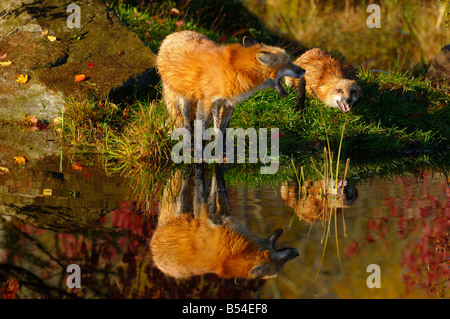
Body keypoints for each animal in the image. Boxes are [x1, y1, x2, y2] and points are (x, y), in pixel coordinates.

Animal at [156, 31, 306, 134]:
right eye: (289, 63)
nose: (303, 70)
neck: (237, 70)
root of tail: (170, 36)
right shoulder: (206, 101)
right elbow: (201, 129)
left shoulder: (229, 103)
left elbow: (222, 129)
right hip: (181, 101)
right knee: (185, 123)